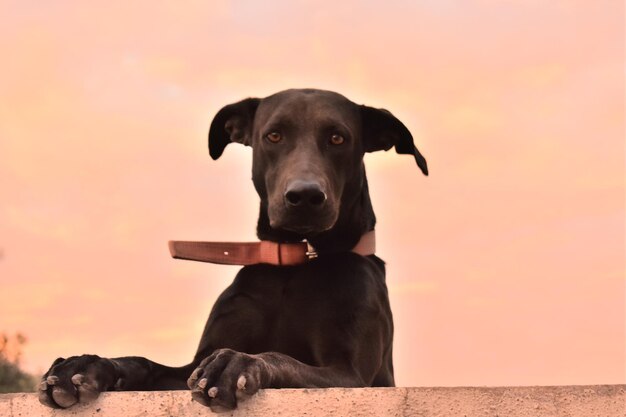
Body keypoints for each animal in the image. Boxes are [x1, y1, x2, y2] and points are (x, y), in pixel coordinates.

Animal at [37, 88, 424, 410]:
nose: (304, 196)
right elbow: (143, 363)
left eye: (337, 138)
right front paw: (86, 365)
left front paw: (238, 362)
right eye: (274, 135)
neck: (295, 264)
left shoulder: (350, 374)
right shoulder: (188, 369)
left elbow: (280, 358)